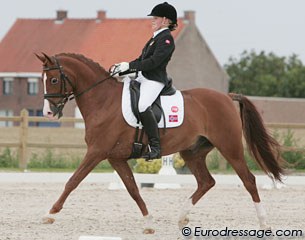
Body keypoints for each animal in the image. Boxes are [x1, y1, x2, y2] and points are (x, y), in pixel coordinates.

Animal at [36, 53, 284, 234]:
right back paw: (182, 218)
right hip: (192, 152)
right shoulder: (115, 157)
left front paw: (49, 214)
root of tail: (226, 96)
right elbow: (133, 189)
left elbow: (73, 181)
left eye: (54, 80)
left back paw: (264, 223)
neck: (103, 101)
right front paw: (149, 223)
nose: (48, 112)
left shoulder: (97, 152)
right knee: (206, 182)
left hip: (229, 147)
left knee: (248, 180)